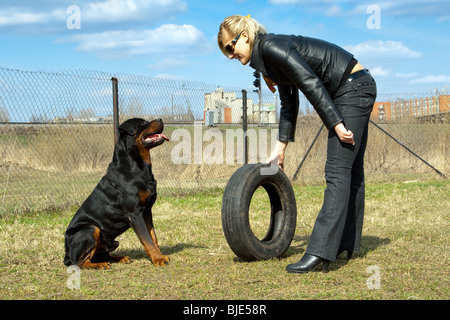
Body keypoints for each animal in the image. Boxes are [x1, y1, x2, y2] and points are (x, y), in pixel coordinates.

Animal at [63, 119, 169, 268]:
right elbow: (146, 239)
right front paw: (157, 259)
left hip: (112, 242)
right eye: (142, 123)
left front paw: (160, 256)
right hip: (90, 229)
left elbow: (153, 237)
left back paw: (121, 258)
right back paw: (100, 265)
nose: (160, 119)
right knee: (79, 262)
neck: (137, 167)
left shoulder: (147, 211)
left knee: (102, 255)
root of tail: (66, 254)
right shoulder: (134, 214)